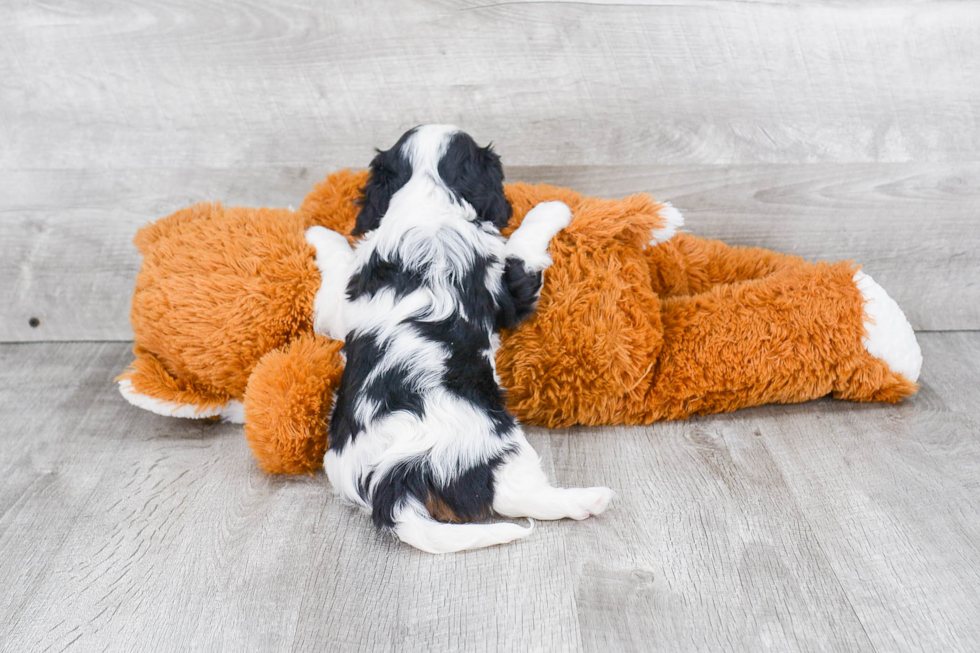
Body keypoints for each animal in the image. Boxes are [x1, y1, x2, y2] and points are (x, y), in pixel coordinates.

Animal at [306, 125, 612, 552]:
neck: (428, 200)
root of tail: (394, 480)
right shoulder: (509, 290)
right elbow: (524, 247)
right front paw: (554, 207)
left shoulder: (342, 308)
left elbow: (335, 278)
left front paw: (318, 233)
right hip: (500, 446)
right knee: (519, 496)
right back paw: (589, 500)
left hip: (339, 465)